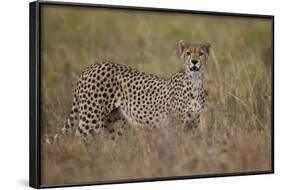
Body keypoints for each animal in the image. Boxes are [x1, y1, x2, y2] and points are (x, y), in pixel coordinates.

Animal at [58, 40, 209, 142]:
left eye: (201, 53)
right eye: (188, 53)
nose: (194, 61)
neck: (194, 81)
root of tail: (91, 66)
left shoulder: (193, 124)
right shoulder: (176, 125)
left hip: (114, 123)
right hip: (91, 118)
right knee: (78, 140)